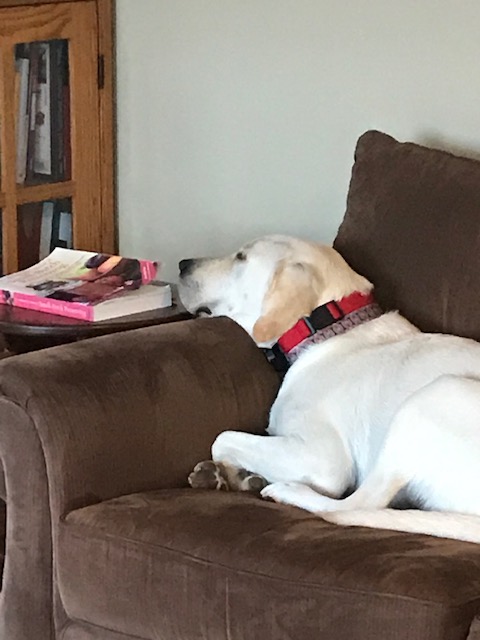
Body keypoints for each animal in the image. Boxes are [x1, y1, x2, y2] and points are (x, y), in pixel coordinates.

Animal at [178, 235, 480, 543]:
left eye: (241, 257)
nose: (182, 264)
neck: (328, 329)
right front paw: (235, 476)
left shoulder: (323, 458)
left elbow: (222, 439)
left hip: (434, 395)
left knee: (354, 505)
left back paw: (286, 491)